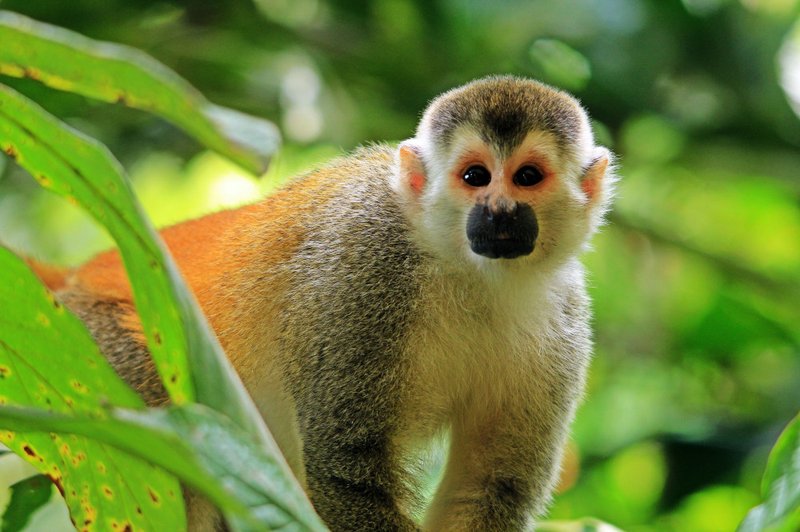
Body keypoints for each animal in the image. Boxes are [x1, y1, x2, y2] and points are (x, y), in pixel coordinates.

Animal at [33, 75, 615, 531]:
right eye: (475, 176)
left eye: (527, 177)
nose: (498, 211)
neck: (470, 273)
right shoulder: (361, 271)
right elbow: (343, 466)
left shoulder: (565, 319)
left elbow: (493, 486)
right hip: (100, 351)